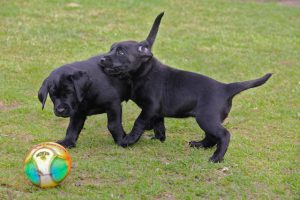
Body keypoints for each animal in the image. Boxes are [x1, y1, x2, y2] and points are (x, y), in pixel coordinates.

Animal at [99, 12, 274, 162]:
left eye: (120, 52)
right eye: (111, 49)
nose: (102, 58)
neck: (144, 73)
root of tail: (226, 88)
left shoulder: (150, 107)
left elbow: (138, 122)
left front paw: (128, 140)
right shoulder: (156, 111)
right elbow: (159, 125)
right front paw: (159, 139)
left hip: (206, 117)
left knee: (224, 135)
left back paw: (216, 157)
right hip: (208, 118)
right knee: (211, 136)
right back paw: (199, 145)